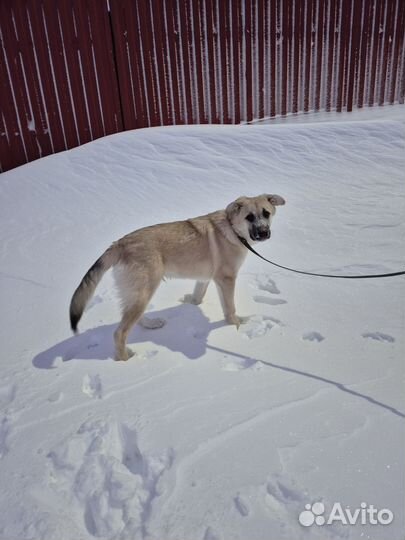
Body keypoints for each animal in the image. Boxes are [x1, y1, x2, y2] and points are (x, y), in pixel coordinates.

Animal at [69, 192, 284, 360]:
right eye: (249, 217)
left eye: (266, 213)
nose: (264, 233)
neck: (232, 229)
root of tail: (119, 244)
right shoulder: (226, 279)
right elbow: (230, 309)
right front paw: (236, 327)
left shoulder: (205, 279)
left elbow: (198, 297)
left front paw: (191, 303)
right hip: (145, 289)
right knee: (119, 333)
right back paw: (124, 359)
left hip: (139, 293)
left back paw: (152, 325)